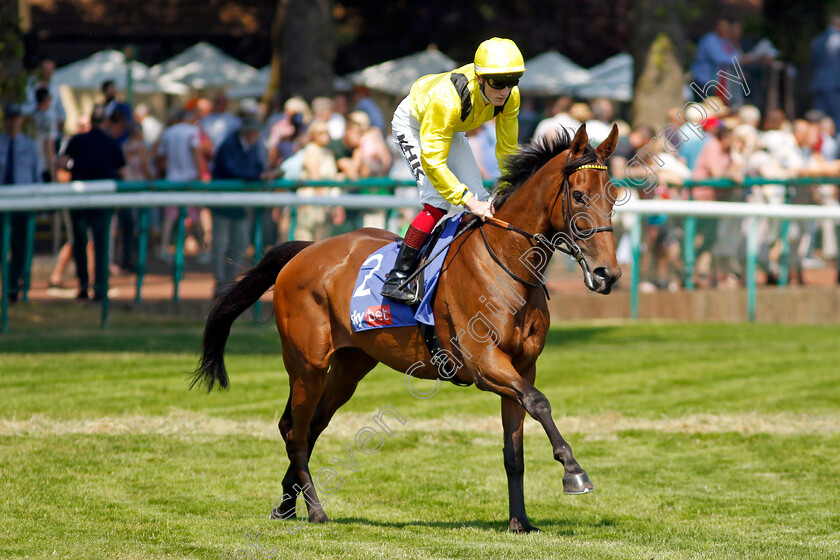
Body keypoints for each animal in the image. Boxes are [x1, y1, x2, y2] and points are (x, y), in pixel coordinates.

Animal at [194, 123, 620, 532]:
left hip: (348, 368)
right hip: (306, 365)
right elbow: (539, 402)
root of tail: (305, 251)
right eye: (578, 196)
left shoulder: (521, 367)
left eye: (613, 195)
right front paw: (574, 472)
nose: (608, 274)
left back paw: (286, 505)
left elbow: (515, 448)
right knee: (296, 432)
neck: (506, 263)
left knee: (306, 425)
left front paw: (520, 522)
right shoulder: (484, 363)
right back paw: (315, 510)